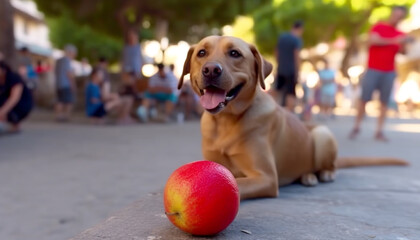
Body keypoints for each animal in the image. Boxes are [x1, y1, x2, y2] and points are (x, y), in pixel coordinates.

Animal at [177, 36, 406, 201]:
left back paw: (322, 174)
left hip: (322, 134)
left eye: (235, 53)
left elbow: (236, 183)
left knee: (329, 166)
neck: (225, 121)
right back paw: (307, 175)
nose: (211, 70)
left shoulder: (266, 177)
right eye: (202, 52)